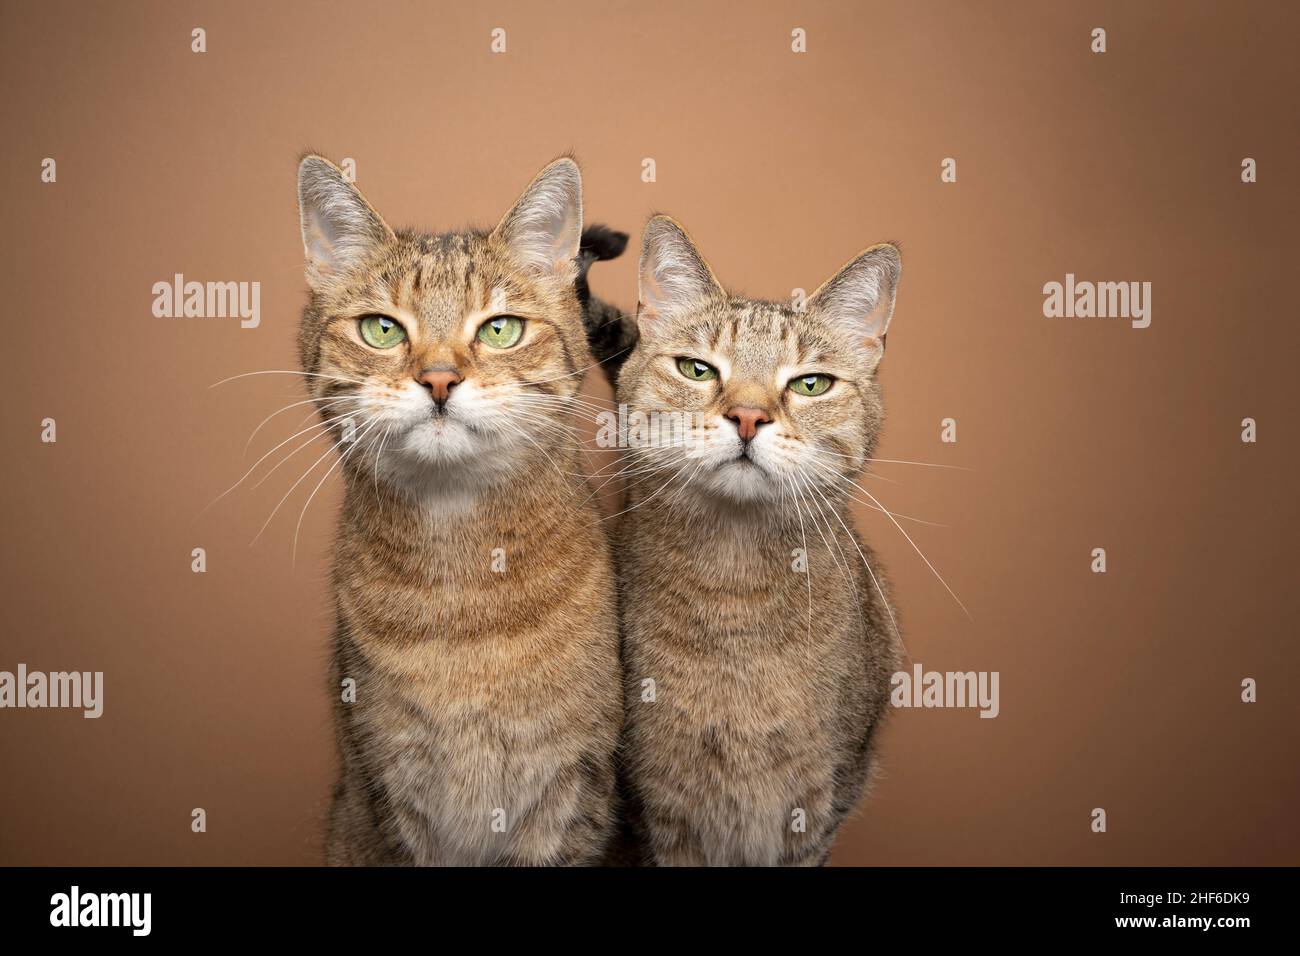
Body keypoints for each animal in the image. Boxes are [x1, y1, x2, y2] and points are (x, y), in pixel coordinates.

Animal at [616, 214, 904, 868]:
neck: (736, 590)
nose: (748, 417)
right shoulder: (656, 807)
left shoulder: (820, 802)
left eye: (812, 384)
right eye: (697, 369)